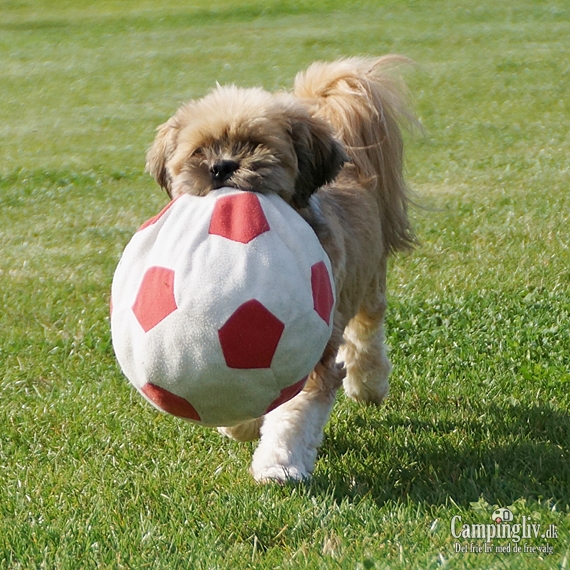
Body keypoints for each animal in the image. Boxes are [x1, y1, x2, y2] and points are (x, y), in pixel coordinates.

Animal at [144, 56, 414, 480]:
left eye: (256, 145)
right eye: (200, 151)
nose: (221, 165)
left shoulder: (312, 349)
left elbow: (295, 412)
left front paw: (279, 464)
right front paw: (240, 425)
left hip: (368, 285)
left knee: (366, 335)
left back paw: (368, 384)